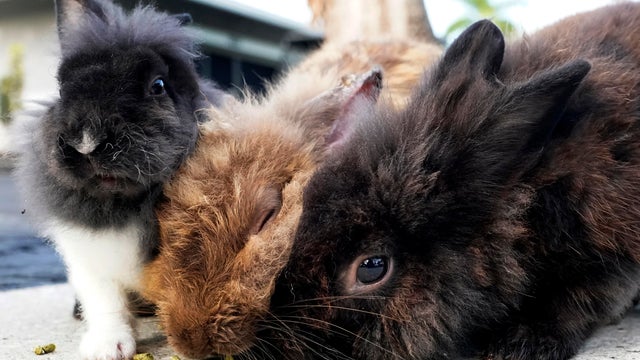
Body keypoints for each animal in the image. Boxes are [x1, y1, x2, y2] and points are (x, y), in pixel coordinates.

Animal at [12, 0, 225, 360]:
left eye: (158, 86)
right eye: (62, 90)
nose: (86, 142)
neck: (127, 204)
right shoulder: (90, 262)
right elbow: (106, 303)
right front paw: (107, 347)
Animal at [264, 2, 640, 360]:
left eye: (371, 267)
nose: (274, 335)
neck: (527, 203)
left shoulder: (613, 257)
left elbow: (582, 301)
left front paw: (519, 345)